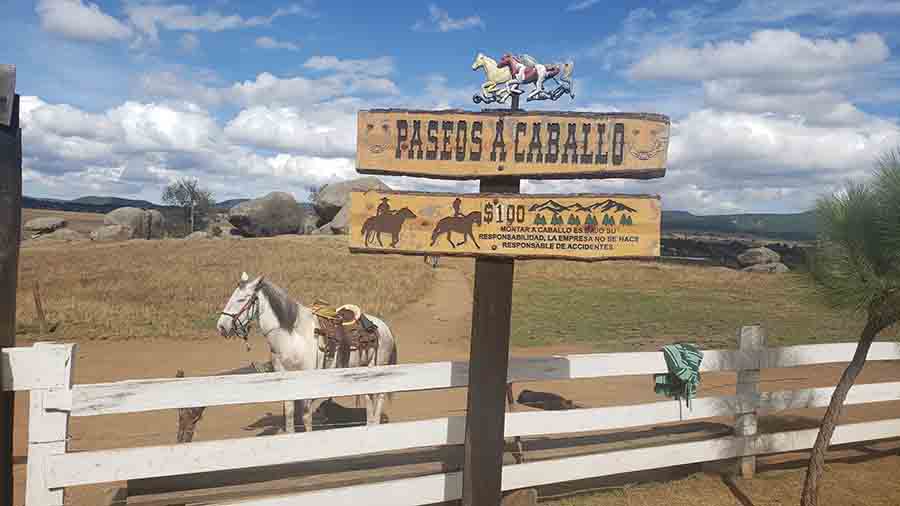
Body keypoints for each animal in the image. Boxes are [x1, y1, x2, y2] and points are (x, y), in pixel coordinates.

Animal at [216, 270, 400, 432]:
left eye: (242, 299)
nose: (222, 326)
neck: (292, 336)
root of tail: (384, 327)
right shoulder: (285, 375)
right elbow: (290, 412)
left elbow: (305, 416)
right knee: (369, 399)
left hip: (379, 367)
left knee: (379, 399)